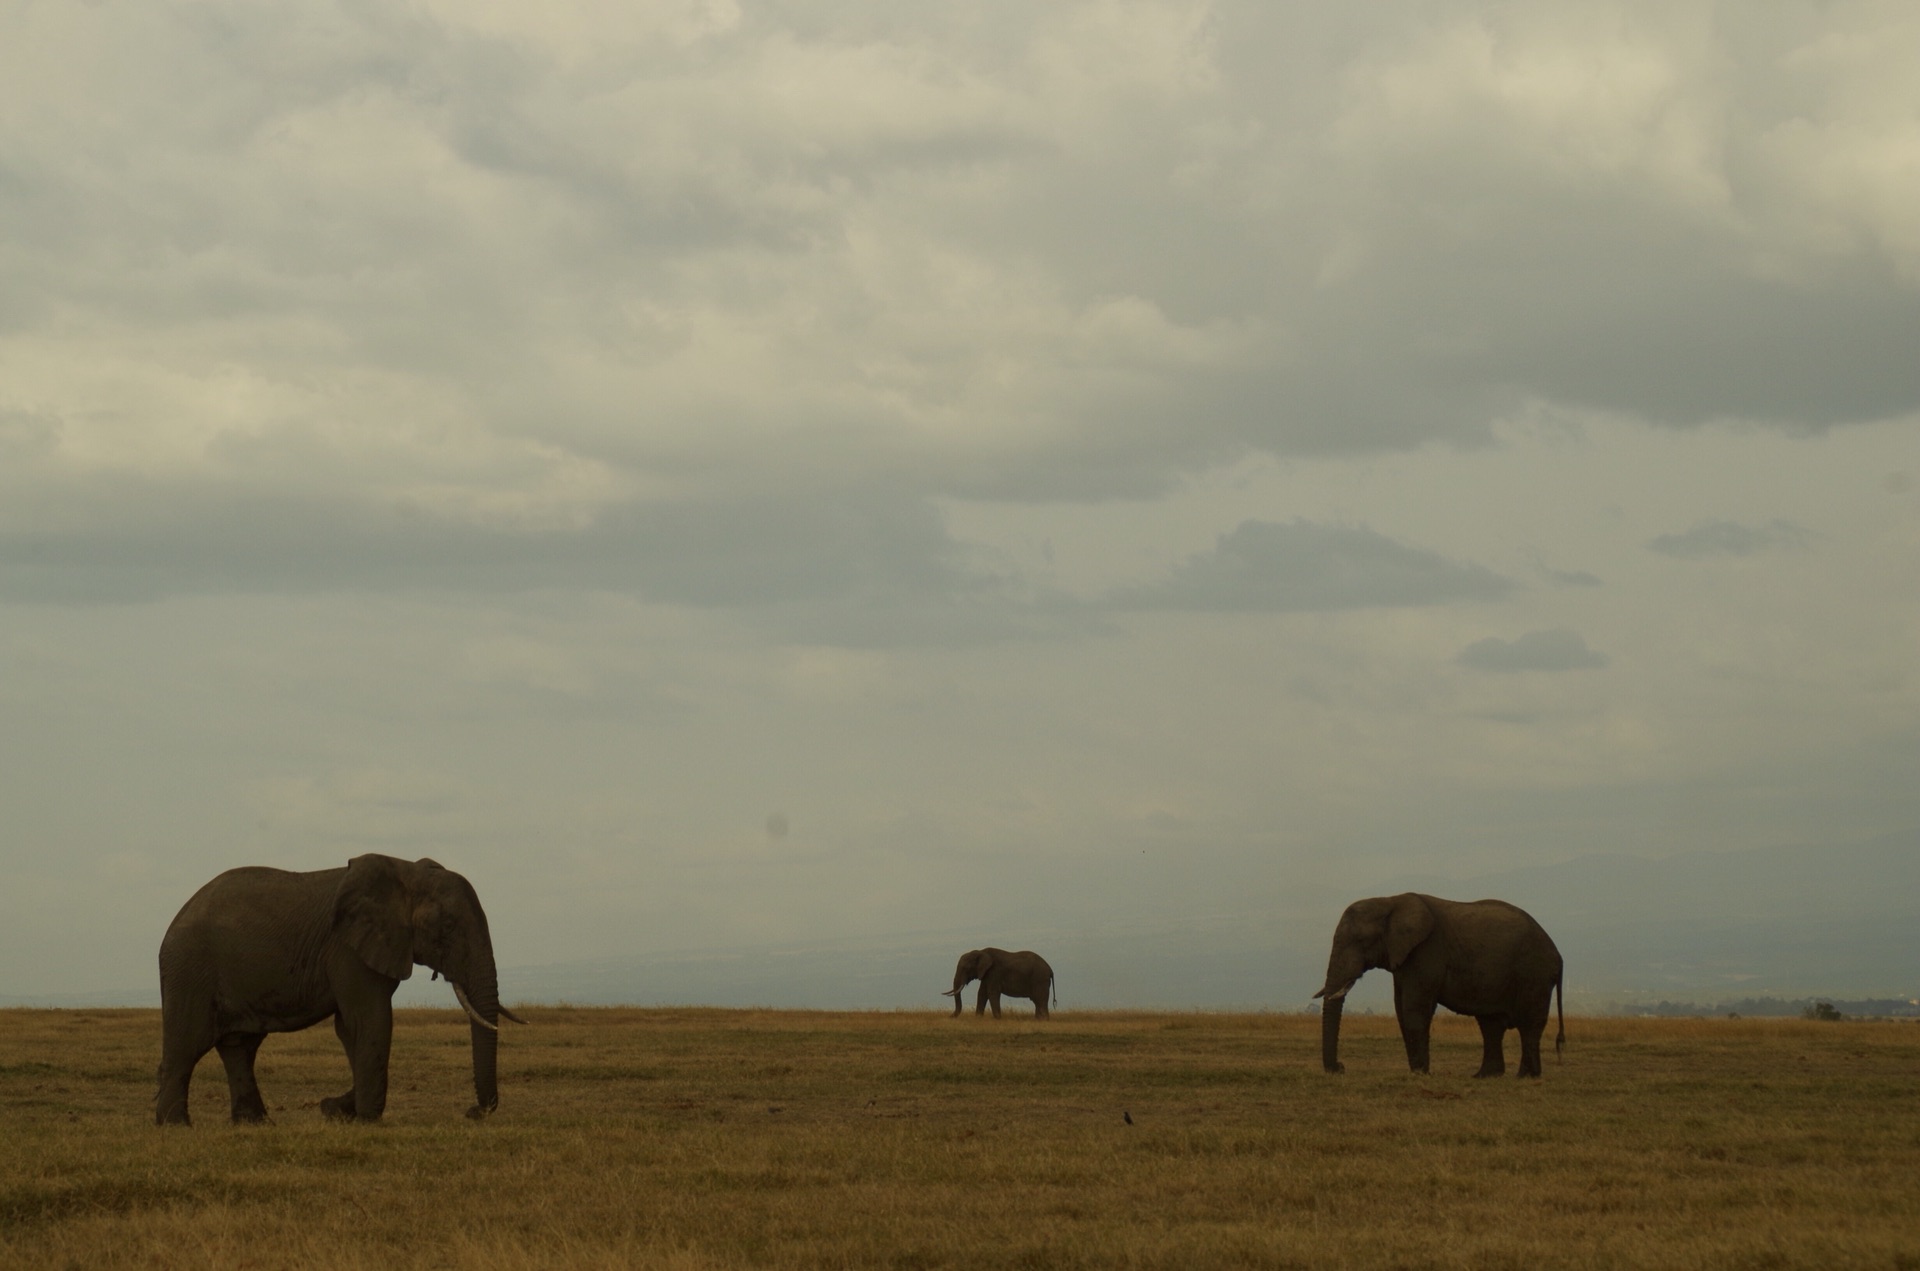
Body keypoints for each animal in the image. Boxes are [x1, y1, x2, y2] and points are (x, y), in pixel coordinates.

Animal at [154, 856, 526, 1128]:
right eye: (446, 928)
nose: (472, 1112)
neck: (406, 872)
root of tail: (176, 919)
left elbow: (350, 1029)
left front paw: (336, 1108)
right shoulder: (348, 950)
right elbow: (370, 1020)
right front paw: (365, 1118)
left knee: (240, 1048)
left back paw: (255, 1124)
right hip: (189, 970)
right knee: (187, 1045)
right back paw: (176, 1126)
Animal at [1313, 890, 1566, 1082]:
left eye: (1360, 941)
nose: (1340, 1067)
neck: (1389, 901)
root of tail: (1558, 954)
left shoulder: (1427, 951)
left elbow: (1414, 1009)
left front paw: (1420, 1074)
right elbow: (1401, 1009)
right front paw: (1418, 1071)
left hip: (1534, 973)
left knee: (1529, 1024)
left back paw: (1526, 1077)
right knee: (1491, 1025)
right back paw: (1485, 1076)